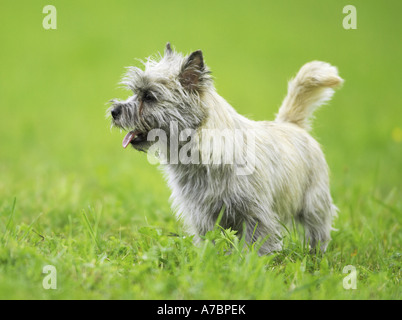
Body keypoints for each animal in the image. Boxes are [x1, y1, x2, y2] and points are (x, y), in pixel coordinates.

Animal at [109, 42, 342, 254]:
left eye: (149, 97)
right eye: (134, 93)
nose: (114, 111)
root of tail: (292, 124)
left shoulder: (255, 213)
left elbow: (256, 244)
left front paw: (250, 263)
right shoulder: (203, 214)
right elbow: (212, 240)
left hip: (314, 203)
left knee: (318, 230)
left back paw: (316, 254)